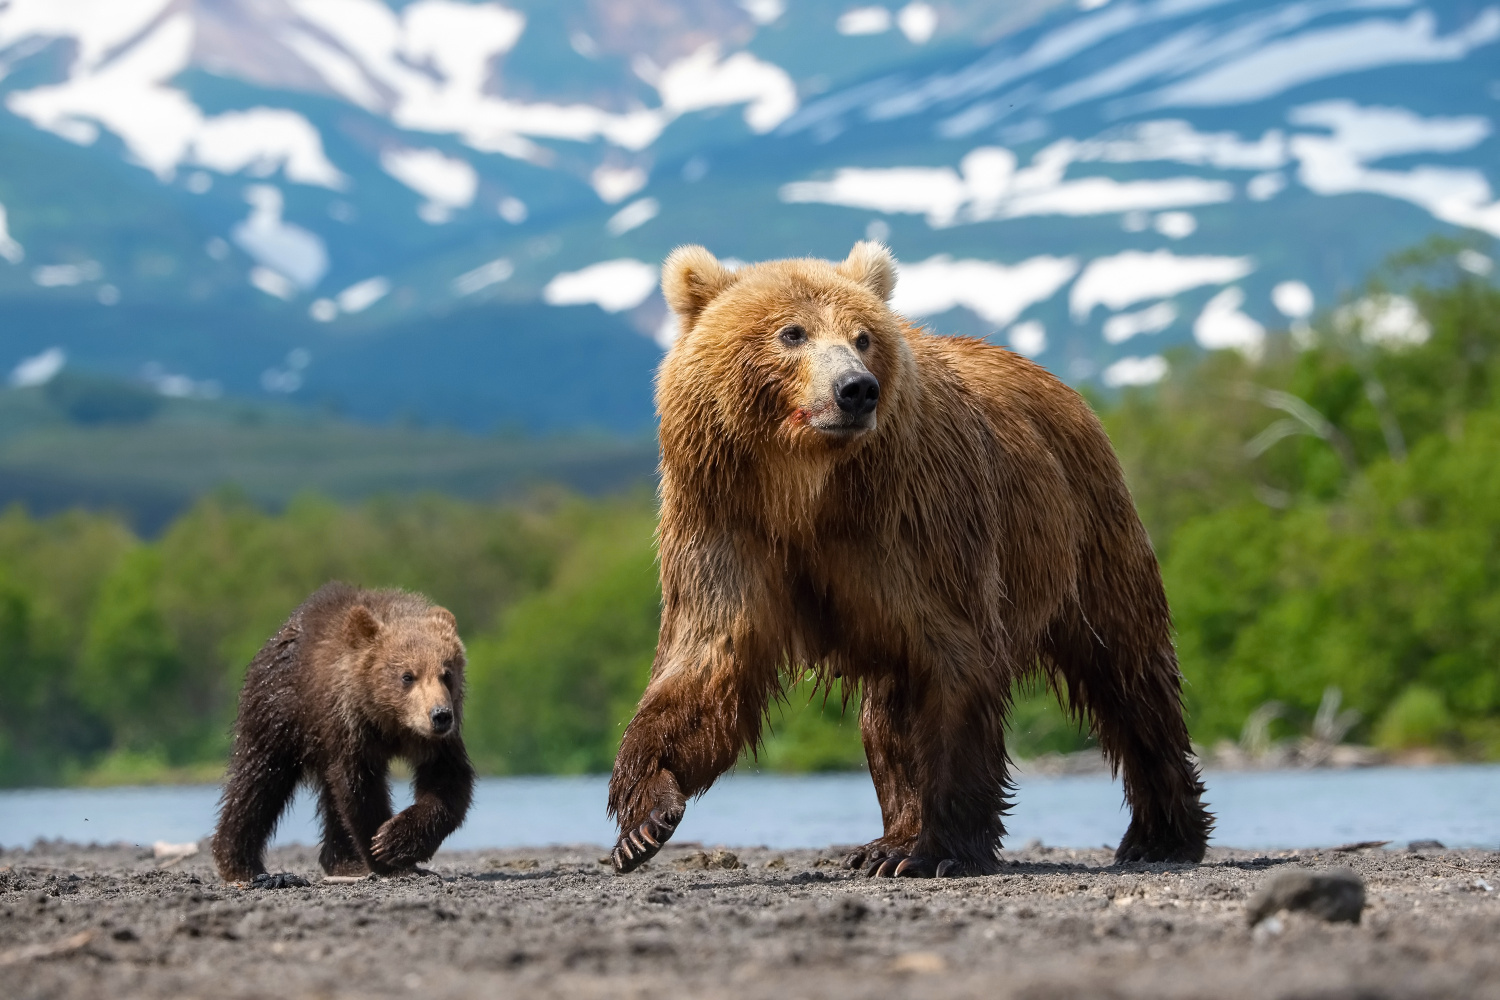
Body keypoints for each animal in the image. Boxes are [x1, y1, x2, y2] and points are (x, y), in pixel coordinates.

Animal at [603, 242, 1212, 875]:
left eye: (863, 335)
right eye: (792, 332)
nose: (856, 388)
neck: (803, 487)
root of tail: (1063, 388)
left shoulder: (913, 527)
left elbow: (955, 664)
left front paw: (940, 850)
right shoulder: (729, 524)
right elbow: (710, 660)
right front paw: (643, 822)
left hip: (1084, 532)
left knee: (1128, 673)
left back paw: (1161, 834)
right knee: (887, 717)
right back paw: (886, 840)